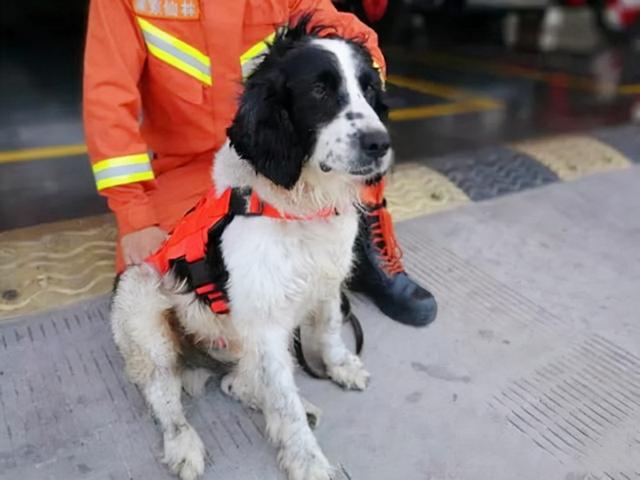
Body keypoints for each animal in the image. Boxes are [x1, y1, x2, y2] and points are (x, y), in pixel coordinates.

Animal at [110, 17, 390, 480]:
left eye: (369, 89)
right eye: (319, 90)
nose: (379, 143)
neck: (299, 206)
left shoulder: (328, 282)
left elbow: (330, 329)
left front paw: (340, 366)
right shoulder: (267, 323)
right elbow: (284, 403)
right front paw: (307, 461)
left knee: (235, 384)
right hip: (144, 306)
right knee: (164, 395)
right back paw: (184, 444)